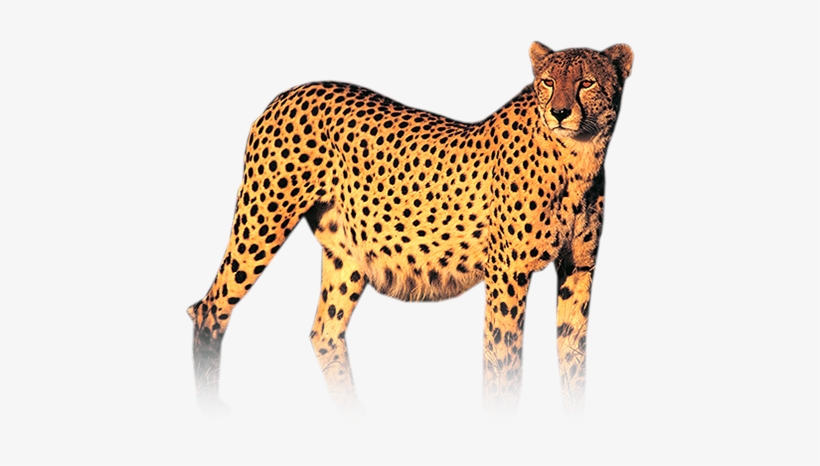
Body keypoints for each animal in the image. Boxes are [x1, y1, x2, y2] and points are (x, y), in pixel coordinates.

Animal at [187, 42, 633, 412]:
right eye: (548, 83)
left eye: (587, 82)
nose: (559, 112)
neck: (578, 158)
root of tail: (289, 92)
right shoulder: (507, 273)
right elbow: (503, 357)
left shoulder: (578, 268)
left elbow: (572, 352)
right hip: (263, 220)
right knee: (210, 308)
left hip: (348, 255)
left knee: (324, 331)